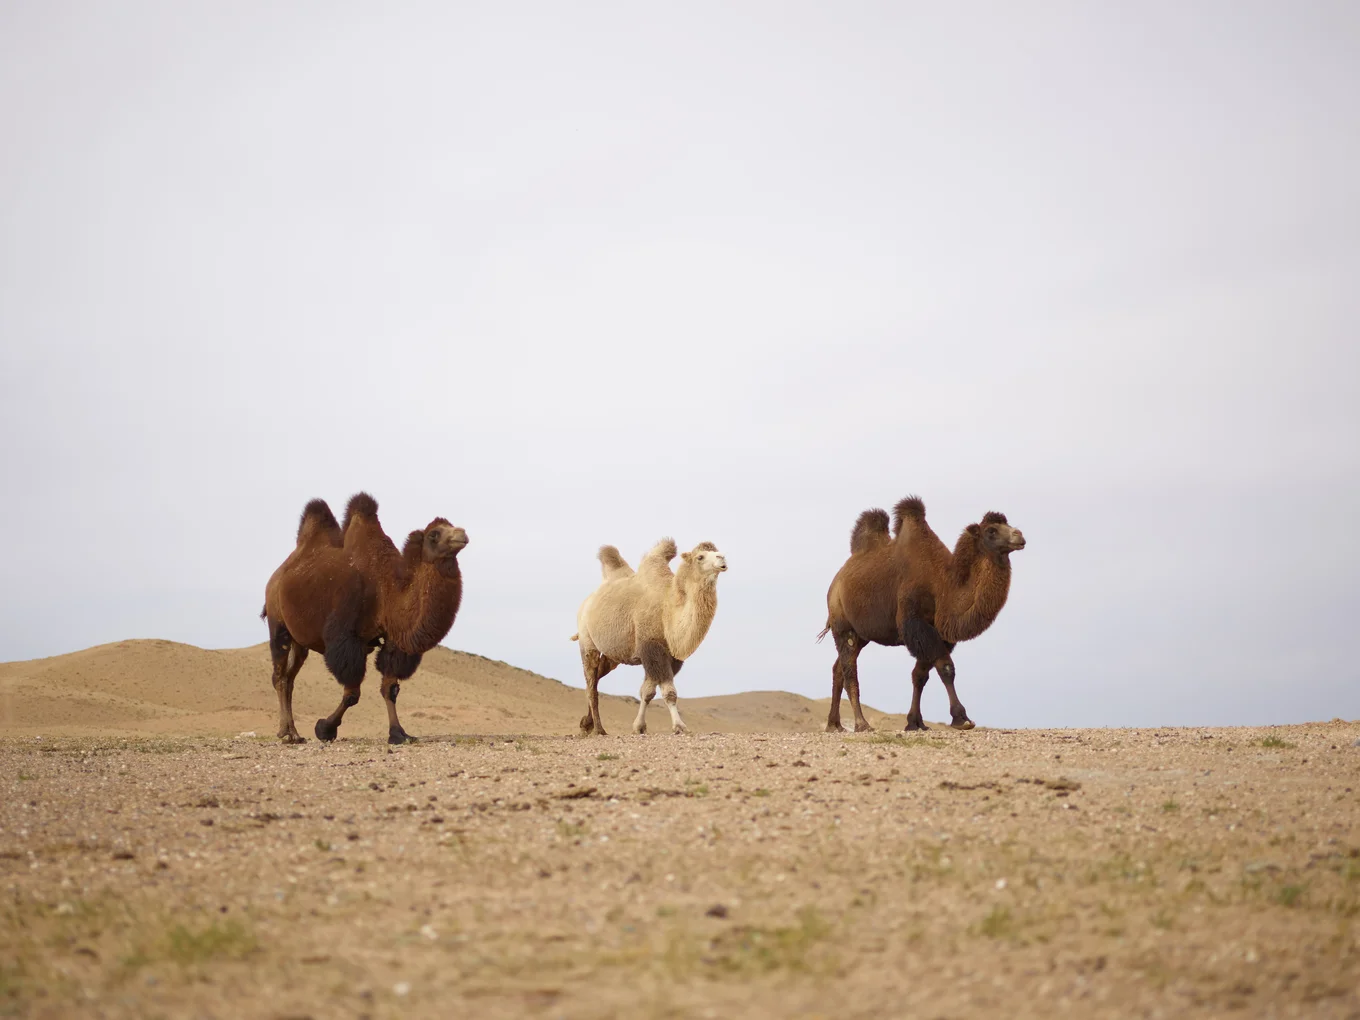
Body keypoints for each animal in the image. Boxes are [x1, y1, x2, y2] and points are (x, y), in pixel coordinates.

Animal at [260, 499, 371, 744]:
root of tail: (273, 581)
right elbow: (353, 693)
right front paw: (325, 728)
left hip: (299, 642)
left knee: (289, 678)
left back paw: (293, 732)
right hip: (278, 626)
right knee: (279, 676)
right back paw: (286, 733)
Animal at [312, 493, 468, 745]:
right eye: (434, 534)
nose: (462, 534)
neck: (387, 594)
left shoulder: (395, 640)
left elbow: (389, 688)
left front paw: (398, 733)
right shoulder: (348, 638)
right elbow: (352, 692)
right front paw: (324, 728)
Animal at [570, 539, 727, 736]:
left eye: (717, 551)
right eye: (700, 557)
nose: (722, 558)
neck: (668, 611)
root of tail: (585, 604)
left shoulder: (669, 656)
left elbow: (647, 691)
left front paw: (639, 726)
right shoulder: (652, 647)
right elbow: (668, 692)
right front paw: (679, 726)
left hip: (612, 655)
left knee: (596, 678)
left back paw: (586, 724)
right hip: (587, 640)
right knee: (591, 682)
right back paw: (599, 729)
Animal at [819, 496, 1025, 733]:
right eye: (991, 530)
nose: (1019, 535)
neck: (942, 586)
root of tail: (835, 583)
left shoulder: (938, 633)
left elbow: (920, 675)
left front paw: (915, 722)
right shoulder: (916, 624)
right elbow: (945, 668)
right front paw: (962, 718)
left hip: (862, 634)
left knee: (838, 668)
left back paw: (834, 725)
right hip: (843, 625)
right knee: (849, 670)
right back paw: (862, 724)